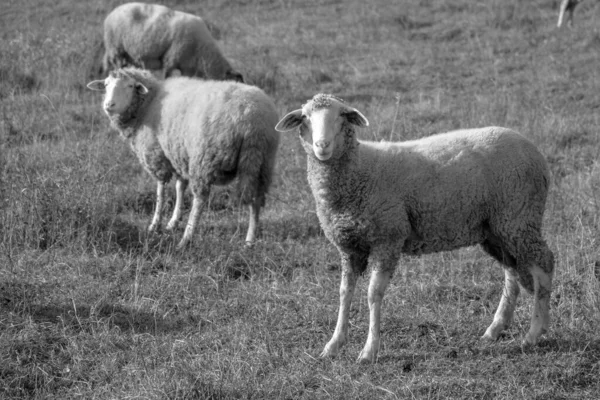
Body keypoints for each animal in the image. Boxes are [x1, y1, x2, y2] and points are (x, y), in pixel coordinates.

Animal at [88, 67, 280, 248]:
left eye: (130, 86)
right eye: (106, 85)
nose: (109, 104)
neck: (149, 103)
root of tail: (253, 121)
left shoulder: (157, 154)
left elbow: (161, 191)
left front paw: (155, 225)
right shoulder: (179, 153)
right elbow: (180, 187)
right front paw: (173, 222)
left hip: (205, 158)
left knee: (200, 199)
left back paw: (186, 238)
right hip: (261, 162)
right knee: (256, 200)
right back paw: (249, 241)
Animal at [101, 1, 244, 82]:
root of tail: (113, 12)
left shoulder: (188, 66)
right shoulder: (171, 59)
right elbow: (167, 76)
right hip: (116, 50)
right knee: (117, 66)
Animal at [274, 95, 556, 364]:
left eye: (342, 115)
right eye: (305, 117)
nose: (321, 146)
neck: (360, 169)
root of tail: (531, 147)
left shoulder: (388, 238)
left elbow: (373, 294)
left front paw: (369, 351)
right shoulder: (349, 247)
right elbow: (344, 293)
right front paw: (333, 345)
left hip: (519, 217)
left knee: (544, 264)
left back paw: (534, 333)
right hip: (497, 228)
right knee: (511, 272)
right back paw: (495, 329)